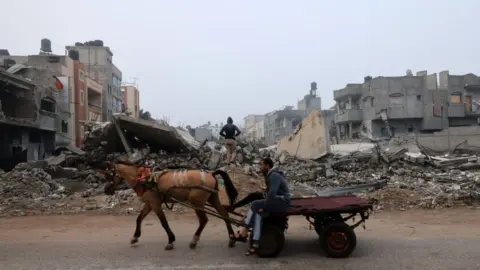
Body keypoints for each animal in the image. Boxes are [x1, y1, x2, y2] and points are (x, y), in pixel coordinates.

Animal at [102, 160, 238, 251]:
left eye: (109, 174)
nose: (106, 189)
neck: (143, 179)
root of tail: (211, 174)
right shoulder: (149, 203)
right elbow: (139, 218)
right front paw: (135, 237)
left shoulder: (155, 204)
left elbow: (164, 222)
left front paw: (171, 241)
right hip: (212, 198)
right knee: (224, 214)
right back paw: (231, 238)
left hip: (196, 201)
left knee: (204, 220)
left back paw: (194, 240)